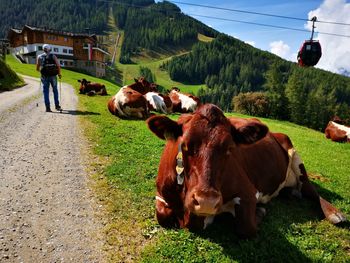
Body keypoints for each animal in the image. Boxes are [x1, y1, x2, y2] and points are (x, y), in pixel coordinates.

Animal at [146, 103, 346, 239]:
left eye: (229, 148)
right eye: (185, 145)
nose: (206, 202)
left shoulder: (248, 192)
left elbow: (246, 227)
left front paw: (260, 212)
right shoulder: (161, 193)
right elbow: (161, 215)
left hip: (296, 157)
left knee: (311, 190)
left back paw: (334, 213)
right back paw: (291, 193)